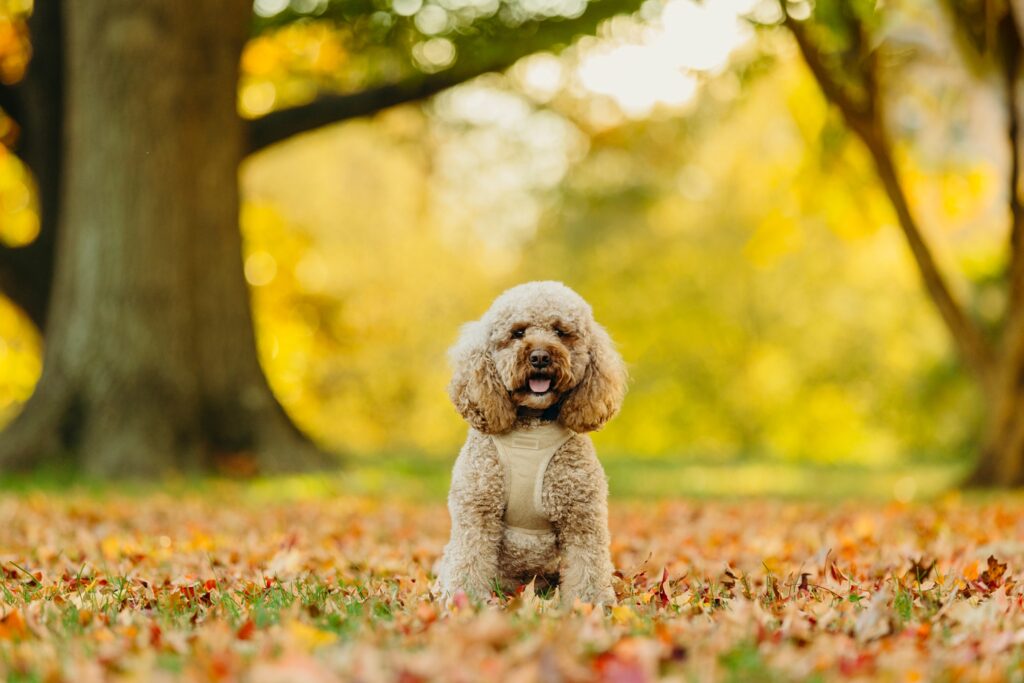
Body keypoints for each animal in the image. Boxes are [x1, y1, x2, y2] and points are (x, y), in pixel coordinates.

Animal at [436, 280, 626, 606]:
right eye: (518, 332)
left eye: (561, 331)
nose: (539, 357)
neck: (533, 425)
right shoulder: (477, 510)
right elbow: (470, 561)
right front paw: (465, 602)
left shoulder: (582, 516)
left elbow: (588, 567)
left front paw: (589, 606)